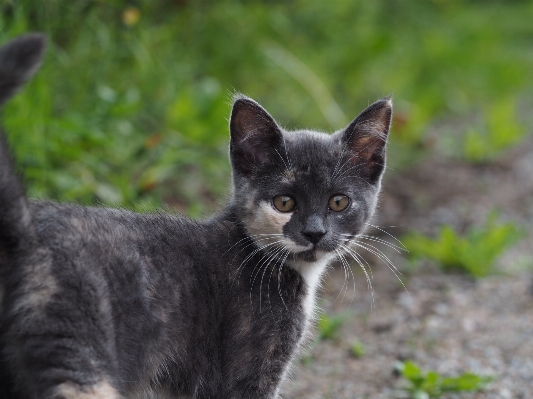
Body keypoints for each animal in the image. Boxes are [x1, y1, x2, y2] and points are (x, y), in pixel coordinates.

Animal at [0, 34, 390, 399]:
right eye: (284, 203)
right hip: (78, 348)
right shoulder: (247, 370)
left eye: (338, 202)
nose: (314, 232)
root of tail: (26, 228)